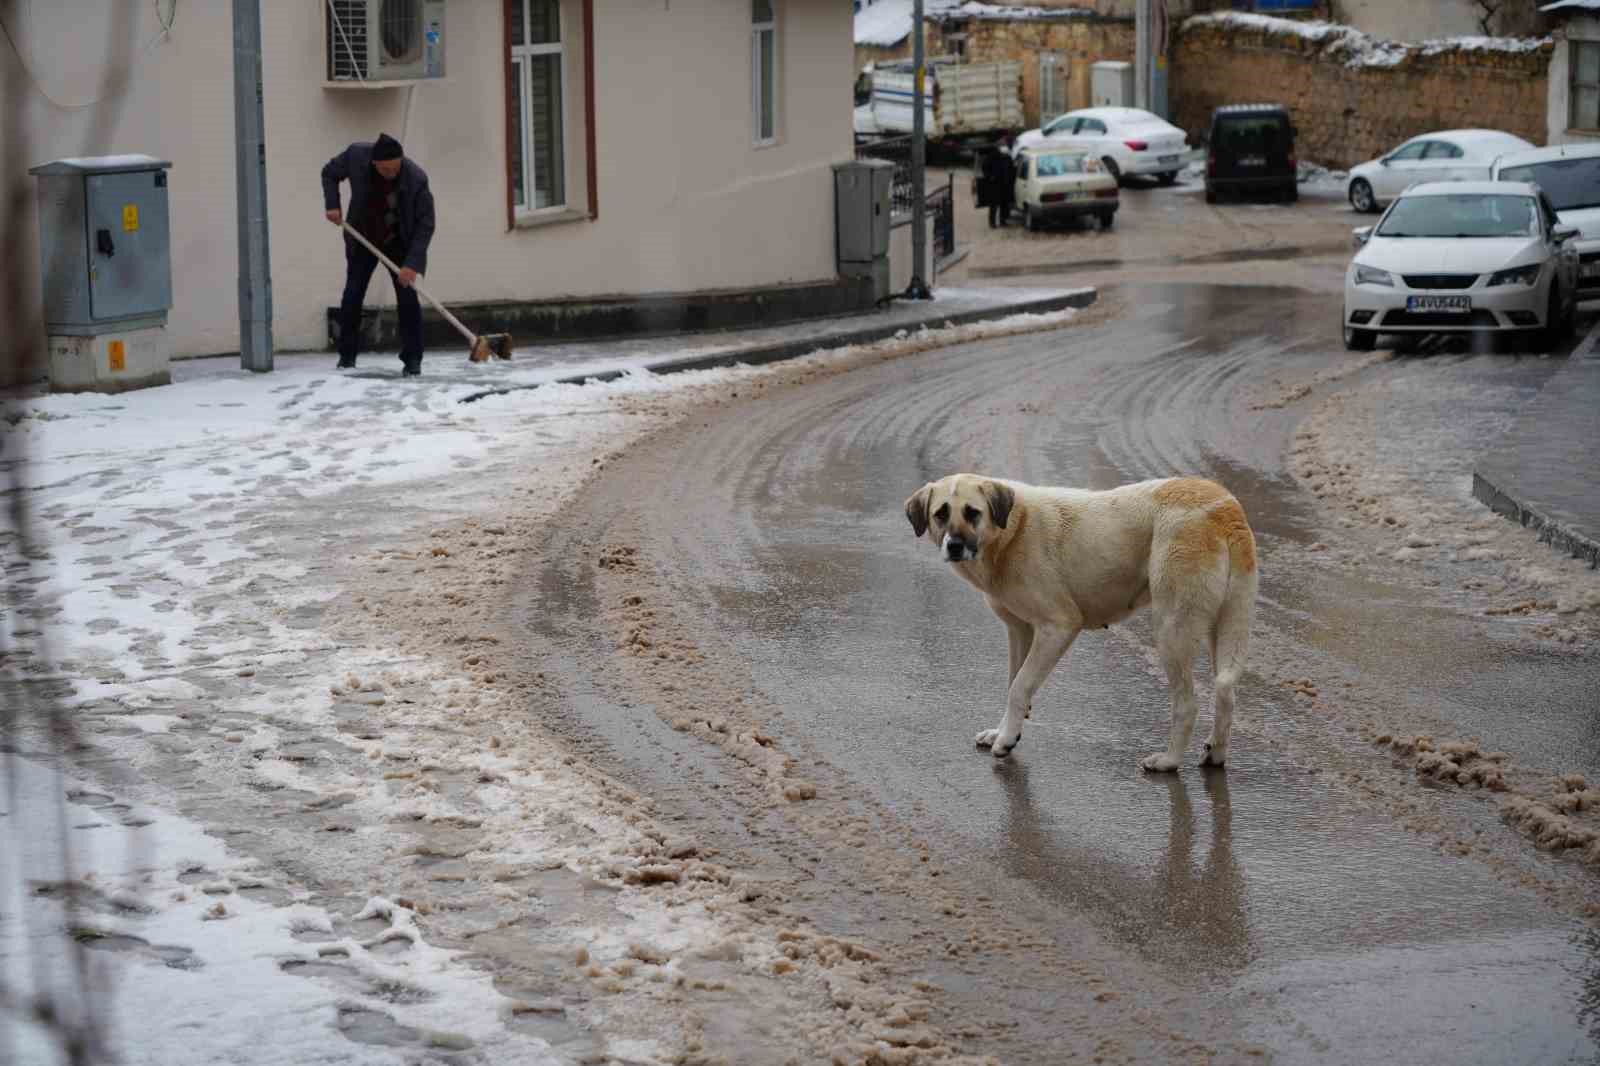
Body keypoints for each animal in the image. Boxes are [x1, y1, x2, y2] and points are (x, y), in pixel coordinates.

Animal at [908, 470, 1254, 765]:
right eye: (940, 514)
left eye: (972, 513)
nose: (954, 546)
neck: (1013, 530)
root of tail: (1226, 508)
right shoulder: (1020, 630)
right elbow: (1013, 683)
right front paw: (1005, 731)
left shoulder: (1058, 627)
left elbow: (1019, 686)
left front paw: (1005, 740)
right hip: (1220, 630)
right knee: (1226, 693)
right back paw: (1215, 755)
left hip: (1172, 631)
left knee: (1188, 704)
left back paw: (1168, 761)